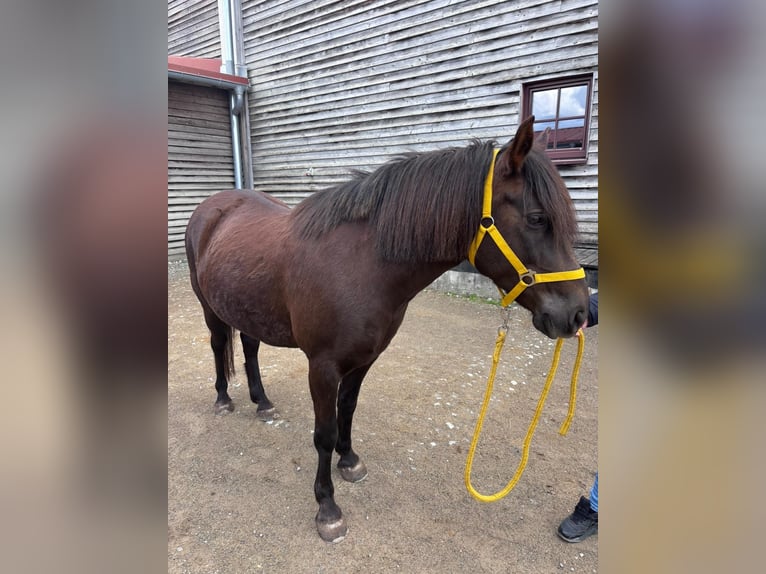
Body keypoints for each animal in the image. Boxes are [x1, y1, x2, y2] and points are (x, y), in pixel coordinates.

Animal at [184, 116, 590, 542]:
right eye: (537, 218)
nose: (579, 313)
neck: (362, 264)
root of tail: (211, 207)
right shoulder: (322, 366)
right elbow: (324, 433)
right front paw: (327, 507)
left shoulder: (364, 358)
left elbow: (347, 410)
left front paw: (349, 461)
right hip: (208, 306)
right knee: (218, 345)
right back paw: (223, 399)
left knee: (249, 345)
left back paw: (261, 401)